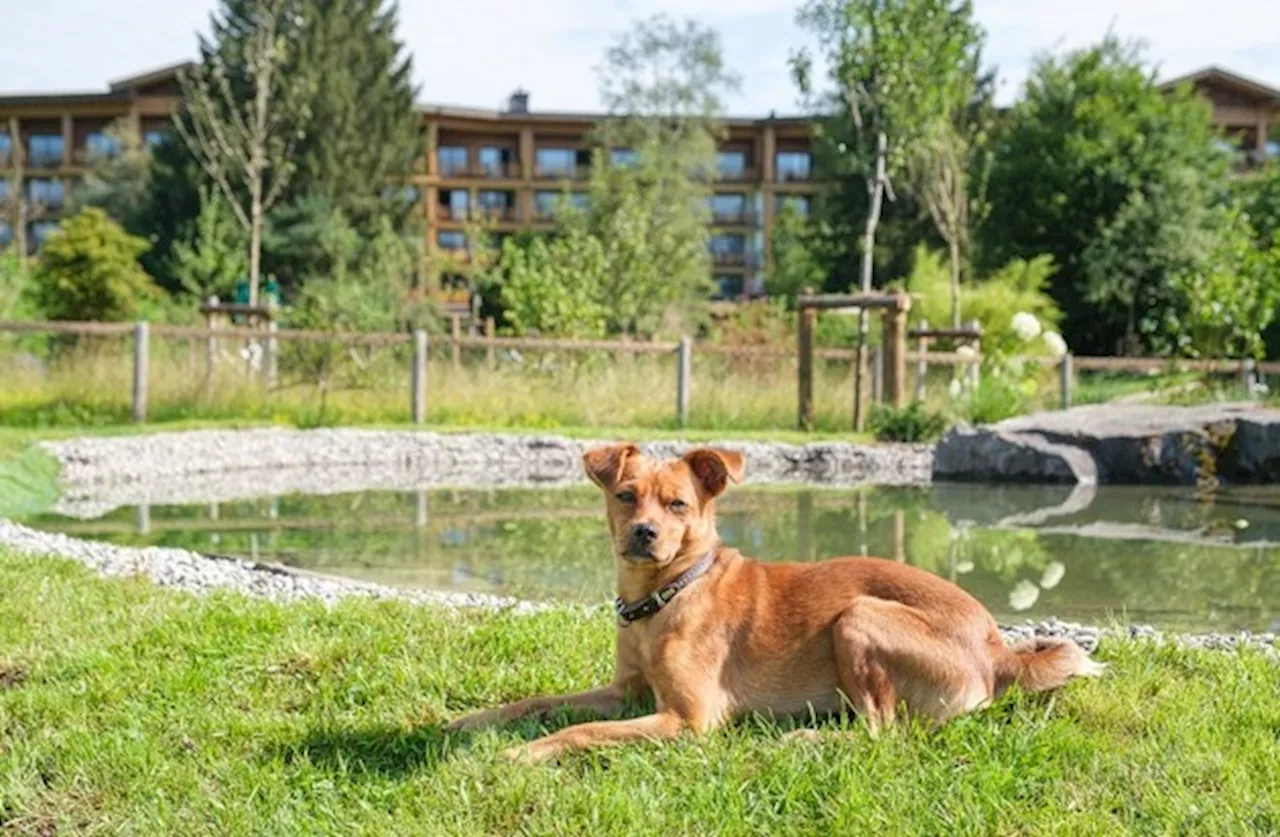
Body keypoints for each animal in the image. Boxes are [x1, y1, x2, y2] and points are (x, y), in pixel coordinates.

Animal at [445, 450, 1105, 762]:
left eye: (679, 504)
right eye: (626, 496)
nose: (644, 534)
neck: (666, 596)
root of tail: (999, 651)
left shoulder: (687, 720)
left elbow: (580, 730)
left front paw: (523, 752)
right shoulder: (624, 691)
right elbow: (539, 702)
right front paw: (469, 721)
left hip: (859, 616)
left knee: (883, 731)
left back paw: (805, 738)